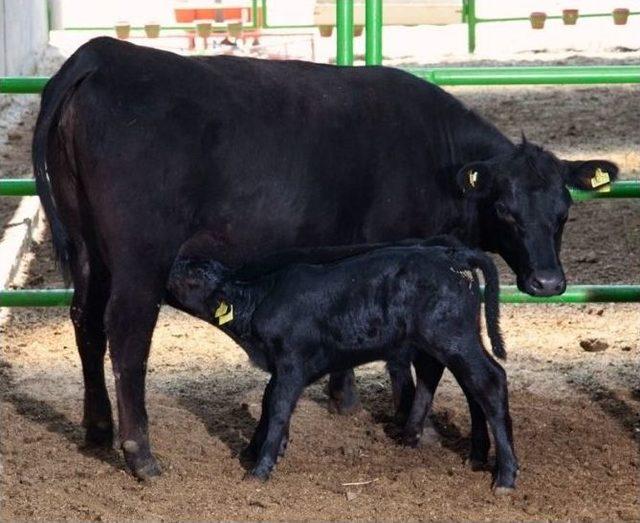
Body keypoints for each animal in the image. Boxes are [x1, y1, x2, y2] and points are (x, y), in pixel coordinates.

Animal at [165, 244, 516, 494]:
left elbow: (278, 407)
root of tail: (451, 254)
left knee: (489, 381)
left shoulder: (292, 363)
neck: (260, 301)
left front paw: (261, 467)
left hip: (452, 337)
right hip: (452, 340)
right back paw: (472, 454)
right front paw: (258, 449)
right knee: (468, 386)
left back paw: (505, 476)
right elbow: (267, 402)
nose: (172, 264)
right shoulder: (280, 366)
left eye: (192, 276)